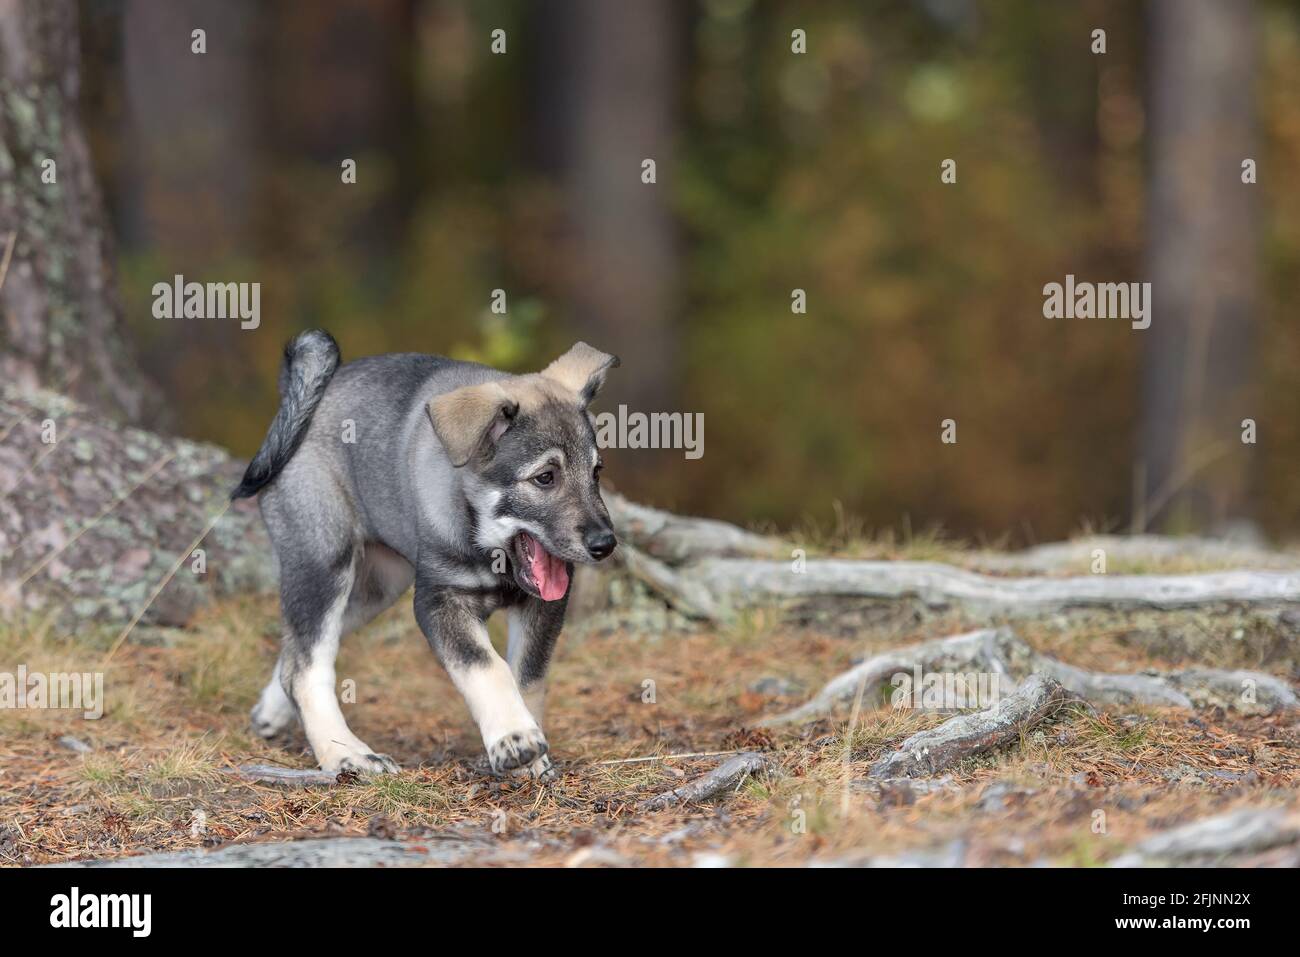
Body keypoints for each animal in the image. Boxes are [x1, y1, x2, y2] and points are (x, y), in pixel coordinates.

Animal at [233, 330, 618, 780]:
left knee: (297, 653)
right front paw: (515, 738)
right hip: (323, 564)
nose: (605, 544)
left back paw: (273, 713)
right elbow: (486, 666)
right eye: (545, 478)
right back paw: (346, 753)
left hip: (376, 588)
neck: (486, 544)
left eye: (596, 472)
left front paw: (529, 752)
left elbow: (527, 676)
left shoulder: (543, 606)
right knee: (305, 667)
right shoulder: (439, 602)